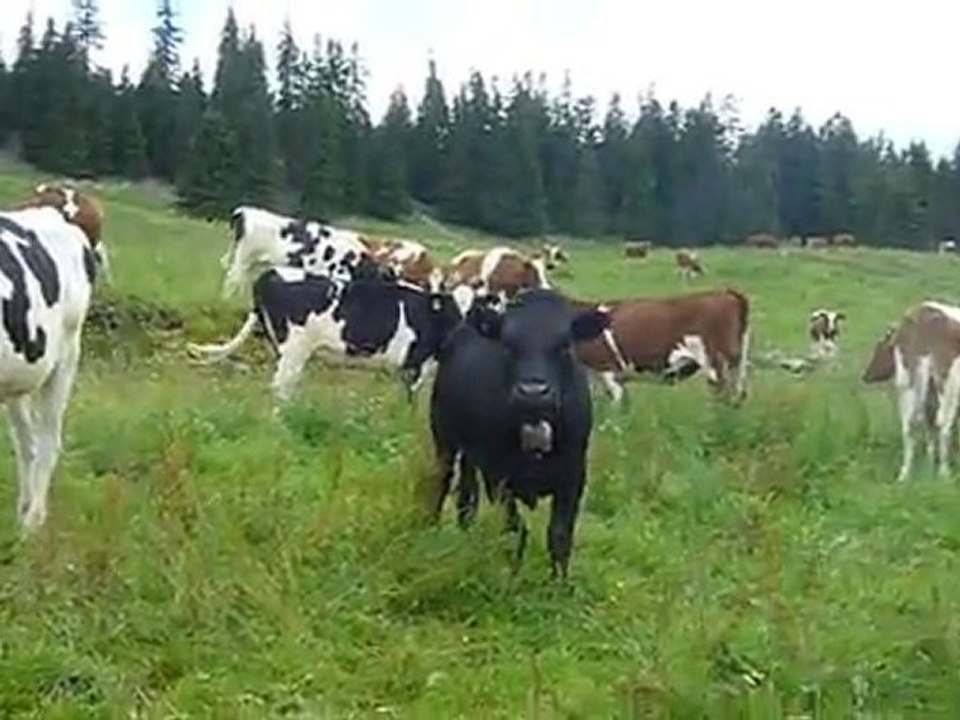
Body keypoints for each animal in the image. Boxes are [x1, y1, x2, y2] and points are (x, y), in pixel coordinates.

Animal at [0, 206, 104, 532]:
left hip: (66, 356)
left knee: (47, 439)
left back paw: (32, 522)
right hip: (17, 377)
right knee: (26, 442)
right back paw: (23, 510)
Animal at [428, 289, 610, 580]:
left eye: (565, 346)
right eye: (508, 345)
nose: (533, 392)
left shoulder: (574, 474)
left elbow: (560, 535)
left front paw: (559, 584)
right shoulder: (498, 475)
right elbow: (515, 531)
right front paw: (512, 580)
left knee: (467, 496)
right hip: (444, 437)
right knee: (441, 481)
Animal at [572, 288, 750, 405]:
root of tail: (726, 293)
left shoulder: (607, 370)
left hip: (718, 364)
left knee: (724, 398)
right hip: (737, 364)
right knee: (737, 396)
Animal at [862, 301, 960, 482]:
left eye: (879, 347)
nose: (865, 375)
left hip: (909, 387)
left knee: (911, 425)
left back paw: (906, 474)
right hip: (947, 386)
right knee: (942, 424)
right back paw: (944, 473)